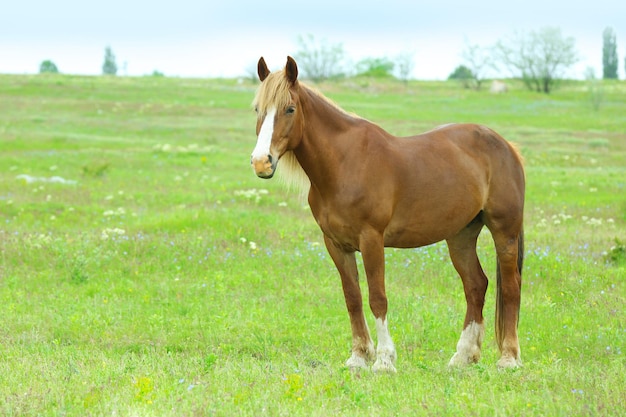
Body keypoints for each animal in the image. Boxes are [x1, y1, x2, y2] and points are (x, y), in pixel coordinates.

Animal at [249, 55, 520, 370]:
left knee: (511, 287)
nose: (261, 162)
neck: (345, 164)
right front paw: (358, 356)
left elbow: (377, 297)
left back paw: (509, 358)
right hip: (461, 235)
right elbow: (352, 297)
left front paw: (384, 360)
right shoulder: (336, 244)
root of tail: (507, 146)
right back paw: (463, 355)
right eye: (258, 109)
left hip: (505, 232)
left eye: (289, 108)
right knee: (476, 285)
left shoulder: (371, 240)